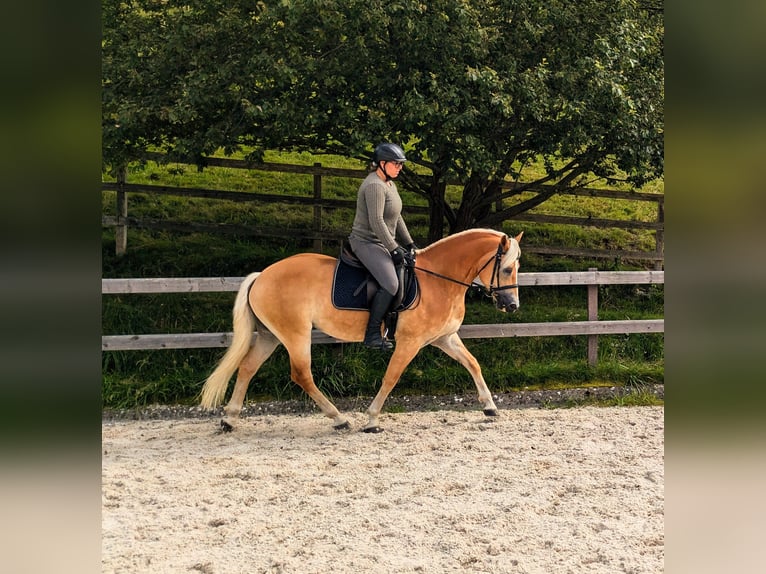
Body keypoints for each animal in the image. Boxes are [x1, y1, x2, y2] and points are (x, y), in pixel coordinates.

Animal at [200, 227, 520, 434]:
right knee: (301, 374)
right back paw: (339, 419)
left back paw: (230, 419)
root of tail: (261, 276)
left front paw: (490, 407)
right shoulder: (410, 342)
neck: (439, 279)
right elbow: (391, 378)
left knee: (247, 367)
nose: (512, 305)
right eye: (506, 269)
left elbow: (473, 364)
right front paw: (372, 419)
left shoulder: (444, 338)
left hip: (270, 335)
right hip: (295, 334)